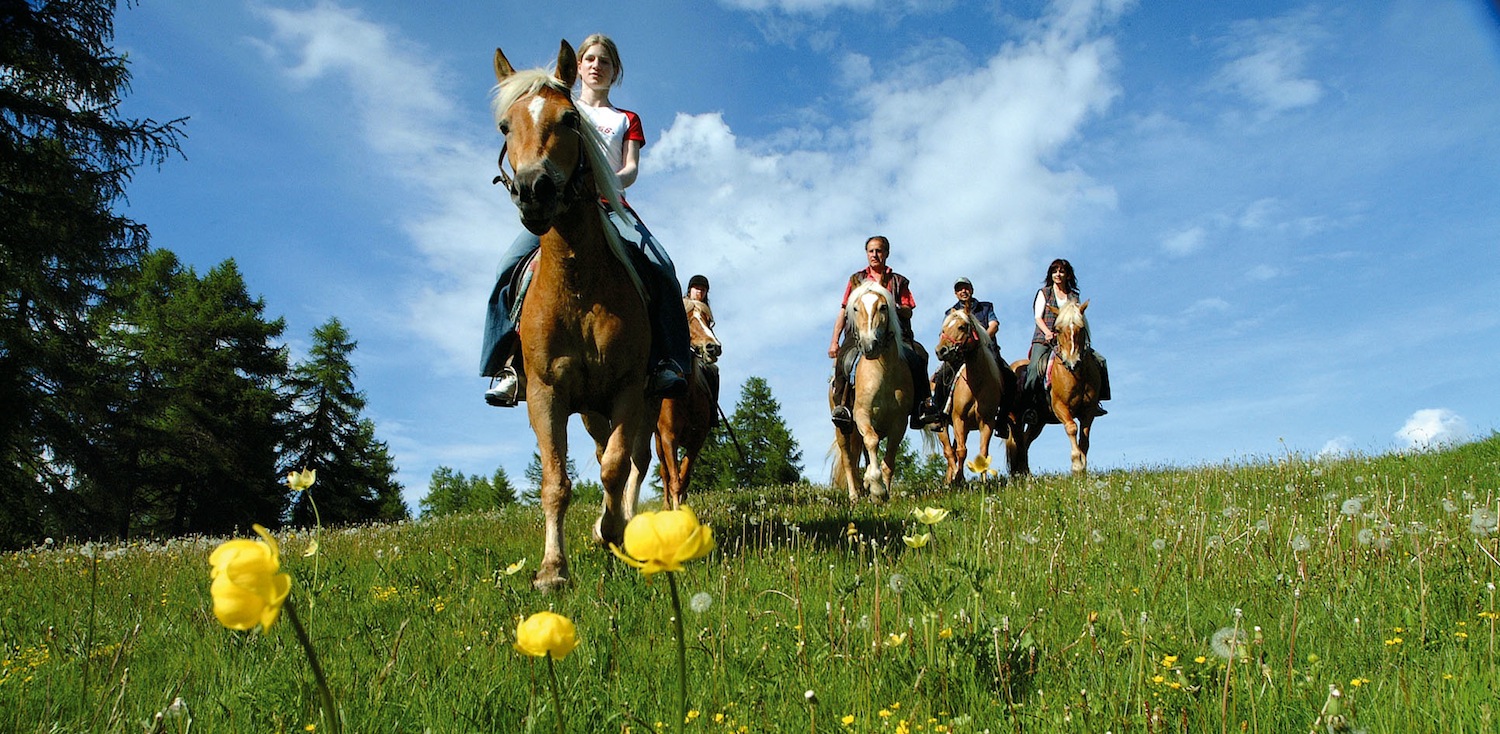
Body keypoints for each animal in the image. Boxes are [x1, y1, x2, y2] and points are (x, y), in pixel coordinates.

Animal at [492, 41, 657, 588]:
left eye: (568, 119)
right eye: (505, 126)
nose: (533, 189)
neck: (579, 284)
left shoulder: (628, 388)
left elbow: (615, 468)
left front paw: (612, 532)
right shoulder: (548, 394)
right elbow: (555, 481)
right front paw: (552, 569)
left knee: (634, 460)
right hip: (588, 409)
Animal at [657, 297, 726, 510]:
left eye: (709, 321)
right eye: (686, 320)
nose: (713, 347)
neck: (685, 396)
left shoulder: (697, 440)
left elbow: (684, 476)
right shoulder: (668, 438)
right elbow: (674, 479)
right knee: (664, 472)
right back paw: (666, 505)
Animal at [834, 280, 912, 504]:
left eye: (883, 307)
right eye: (855, 308)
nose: (869, 346)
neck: (882, 371)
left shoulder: (899, 422)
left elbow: (889, 460)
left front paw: (881, 491)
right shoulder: (861, 415)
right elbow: (871, 442)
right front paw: (876, 488)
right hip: (842, 429)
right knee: (848, 460)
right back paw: (854, 495)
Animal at [924, 307, 1020, 483]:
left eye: (961, 327)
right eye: (943, 329)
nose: (940, 350)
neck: (976, 384)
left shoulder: (987, 422)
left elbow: (983, 452)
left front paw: (983, 482)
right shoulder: (959, 419)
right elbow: (961, 451)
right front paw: (959, 478)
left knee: (953, 450)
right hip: (943, 425)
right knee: (949, 451)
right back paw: (951, 479)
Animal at [1008, 298, 1104, 474]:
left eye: (1081, 328)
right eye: (1058, 330)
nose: (1072, 362)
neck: (1076, 375)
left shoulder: (1089, 410)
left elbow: (1085, 438)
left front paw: (1083, 466)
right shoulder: (1060, 406)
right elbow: (1072, 428)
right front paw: (1077, 465)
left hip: (1038, 422)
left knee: (1025, 441)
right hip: (1015, 418)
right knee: (1018, 442)